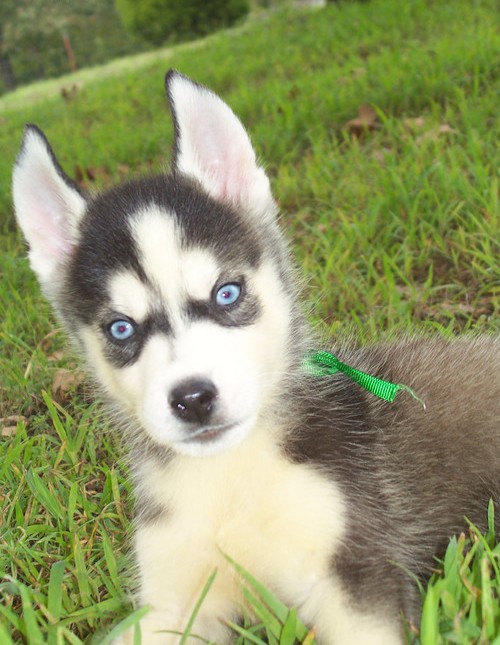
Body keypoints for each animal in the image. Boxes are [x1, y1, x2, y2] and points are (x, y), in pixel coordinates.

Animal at [13, 71, 498, 644]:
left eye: (227, 293)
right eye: (121, 328)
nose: (193, 399)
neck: (231, 478)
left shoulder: (357, 570)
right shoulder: (170, 602)